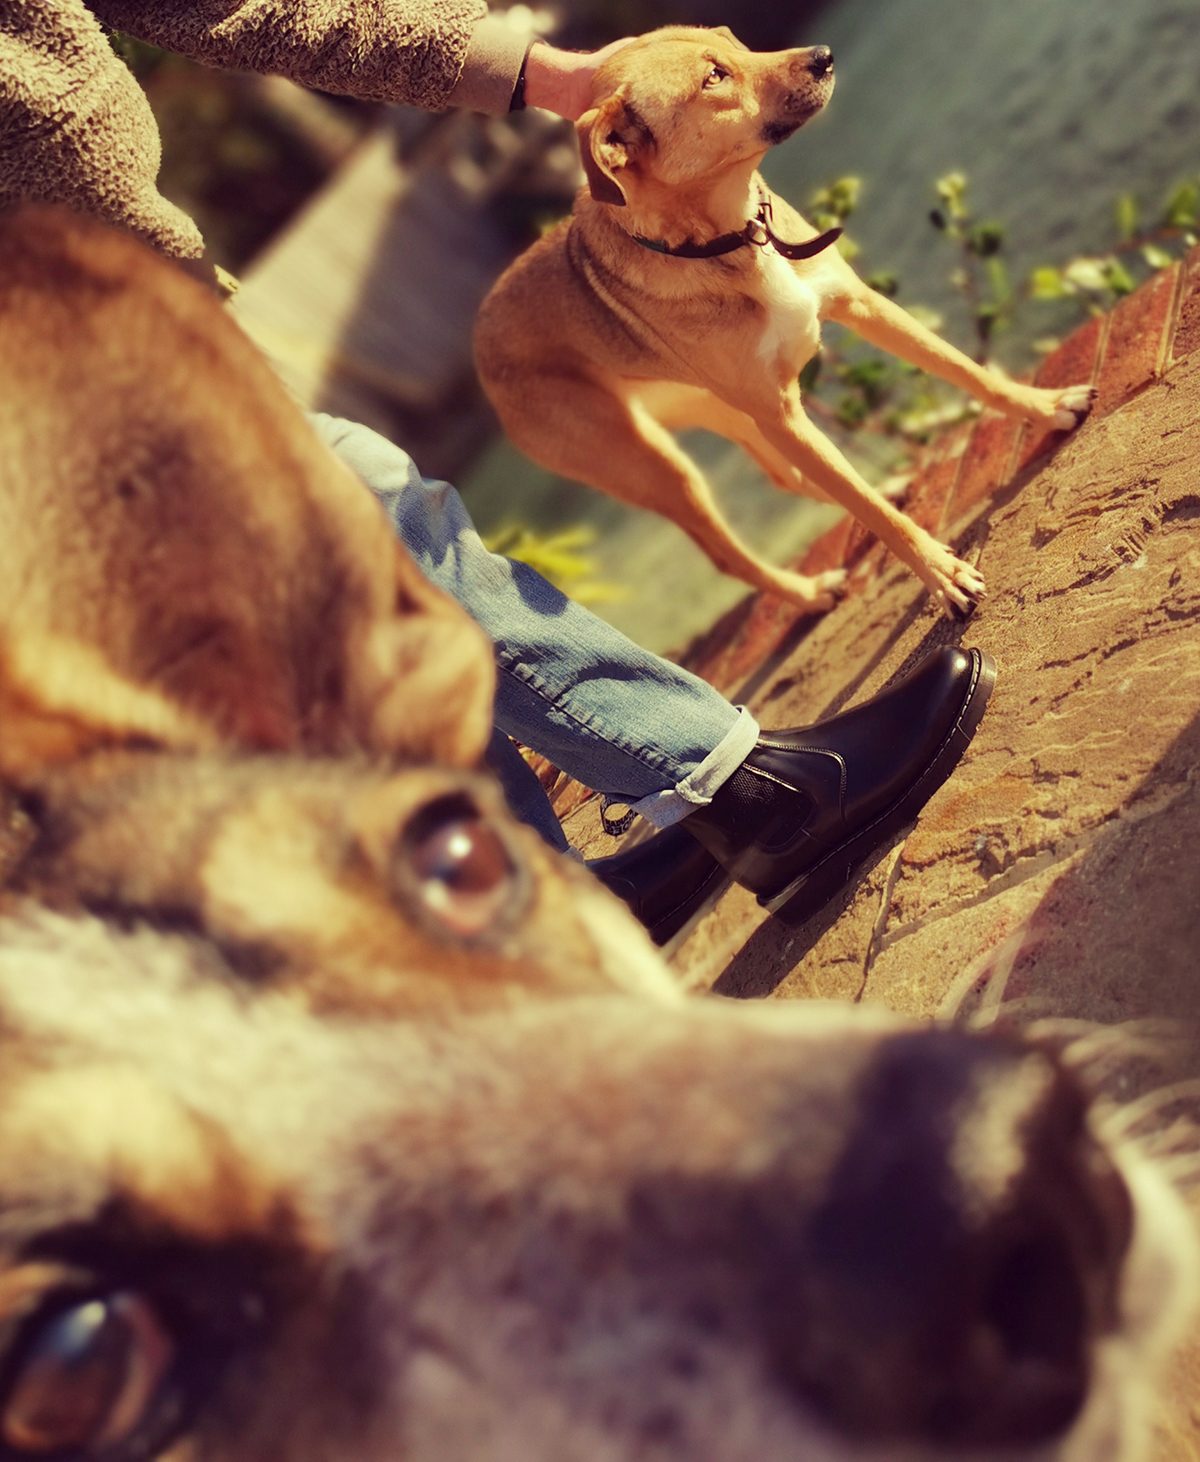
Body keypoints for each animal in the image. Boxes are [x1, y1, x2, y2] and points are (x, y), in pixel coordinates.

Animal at [0, 205, 1193, 1462]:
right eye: (73, 1368)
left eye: (461, 857)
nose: (1003, 1181)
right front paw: (943, 577)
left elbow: (953, 380)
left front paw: (1043, 414)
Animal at [474, 26, 1096, 617]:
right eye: (714, 77)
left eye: (732, 42)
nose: (823, 56)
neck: (738, 235)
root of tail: (480, 344)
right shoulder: (782, 414)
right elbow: (870, 509)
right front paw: (940, 576)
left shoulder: (860, 308)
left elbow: (970, 372)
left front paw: (1046, 407)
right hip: (656, 466)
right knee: (733, 553)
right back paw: (808, 591)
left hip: (725, 413)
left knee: (791, 477)